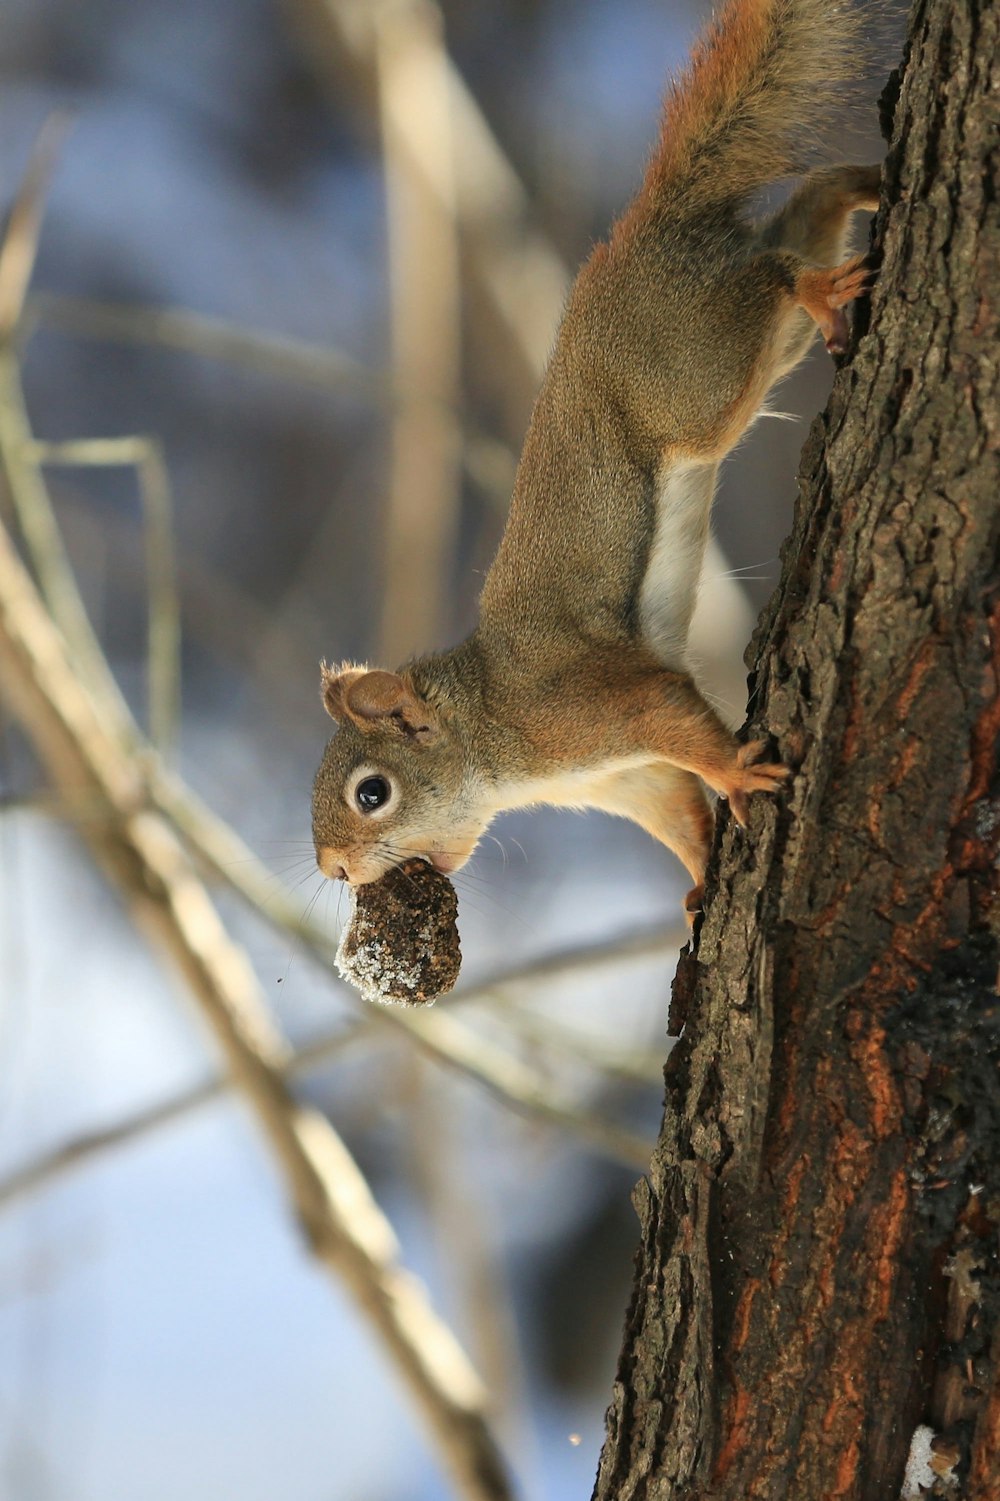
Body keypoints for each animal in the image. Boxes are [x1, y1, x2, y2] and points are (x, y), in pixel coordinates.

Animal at [307, 0, 876, 912]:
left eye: (371, 792)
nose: (331, 867)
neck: (489, 739)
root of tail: (642, 233)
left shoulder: (591, 708)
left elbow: (679, 725)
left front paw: (738, 777)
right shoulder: (627, 779)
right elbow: (679, 813)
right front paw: (697, 884)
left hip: (697, 377)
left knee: (776, 272)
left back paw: (815, 276)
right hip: (749, 342)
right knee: (812, 207)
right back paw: (870, 191)